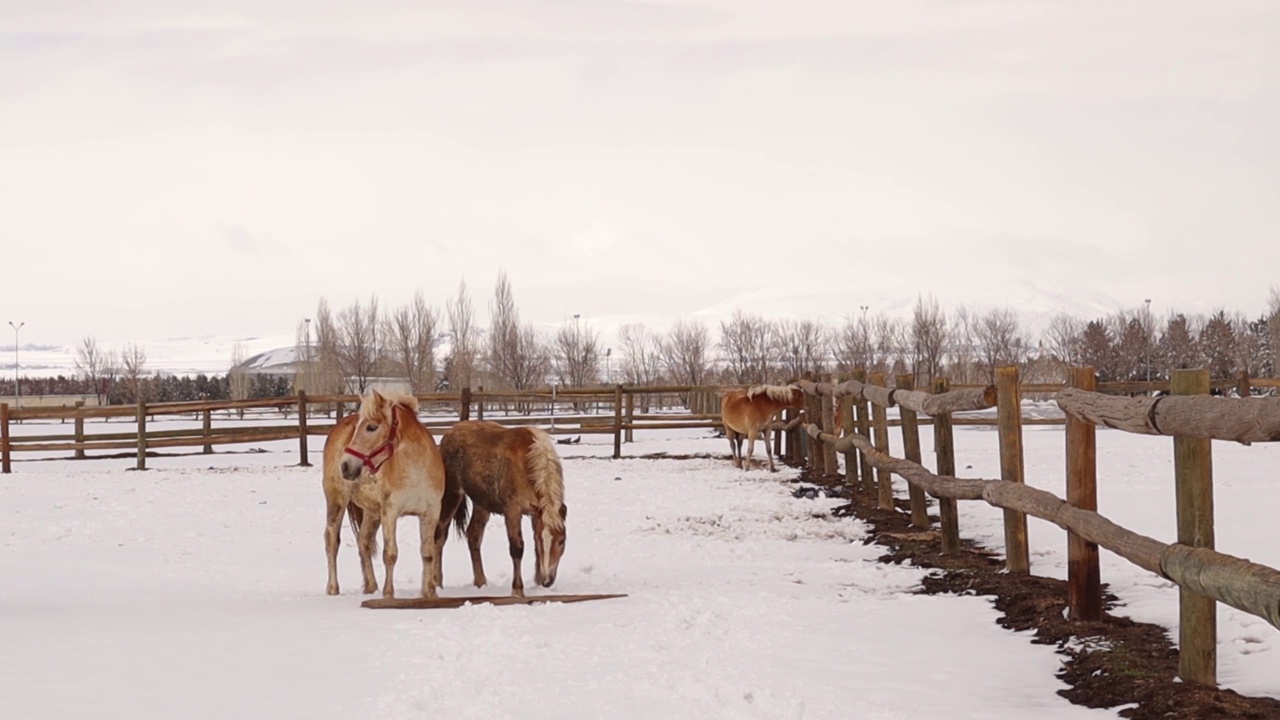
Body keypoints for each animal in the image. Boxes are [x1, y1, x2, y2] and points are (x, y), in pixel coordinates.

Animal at [322, 389, 463, 597]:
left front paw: (428, 593)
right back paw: (333, 588)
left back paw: (371, 586)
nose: (346, 465)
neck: (415, 470)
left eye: (371, 427)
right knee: (332, 540)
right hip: (336, 501)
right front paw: (388, 594)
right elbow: (390, 554)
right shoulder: (390, 512)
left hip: (371, 511)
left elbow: (427, 552)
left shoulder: (430, 513)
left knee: (363, 542)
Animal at [442, 420, 568, 594]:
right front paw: (517, 590)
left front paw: (537, 581)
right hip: (452, 495)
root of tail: (448, 433)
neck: (527, 463)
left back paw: (480, 582)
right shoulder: (512, 510)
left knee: (473, 536)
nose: (547, 580)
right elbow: (517, 548)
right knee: (439, 536)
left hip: (482, 503)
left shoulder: (536, 512)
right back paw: (436, 584)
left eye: (562, 541)